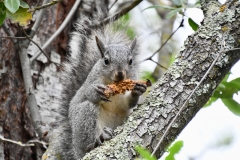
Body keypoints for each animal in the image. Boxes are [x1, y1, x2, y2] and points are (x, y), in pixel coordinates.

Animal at [56, 15, 146, 159]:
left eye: (131, 61)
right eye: (106, 61)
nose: (120, 73)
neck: (115, 85)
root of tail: (76, 150)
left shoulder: (123, 99)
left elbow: (127, 103)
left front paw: (137, 91)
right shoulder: (91, 81)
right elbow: (87, 92)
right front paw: (96, 93)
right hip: (85, 118)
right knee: (88, 141)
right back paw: (99, 138)